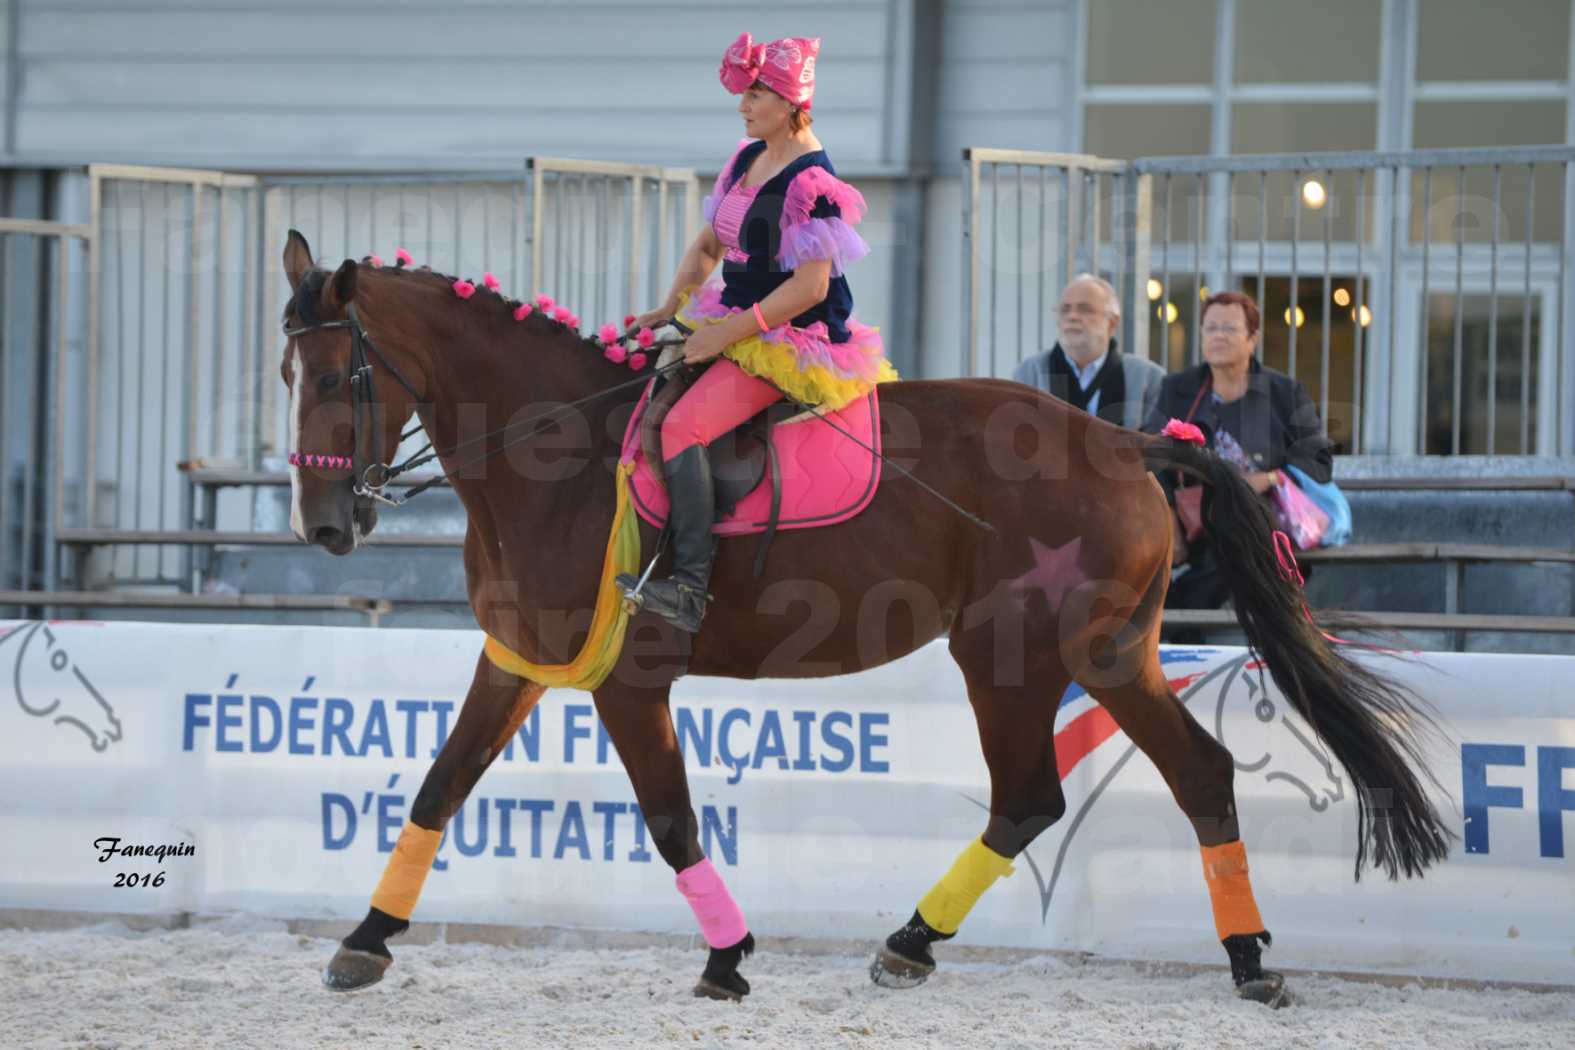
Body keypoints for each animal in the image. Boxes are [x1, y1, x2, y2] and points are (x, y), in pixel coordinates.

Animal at [277, 234, 1442, 1007]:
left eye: (336, 374)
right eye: (289, 372)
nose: (325, 525)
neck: (552, 456)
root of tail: (1131, 441)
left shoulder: (628, 679)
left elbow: (669, 819)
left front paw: (726, 958)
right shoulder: (518, 660)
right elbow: (438, 786)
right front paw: (367, 939)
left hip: (1014, 655)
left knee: (1033, 796)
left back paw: (917, 940)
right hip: (1111, 654)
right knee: (1193, 774)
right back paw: (1240, 958)